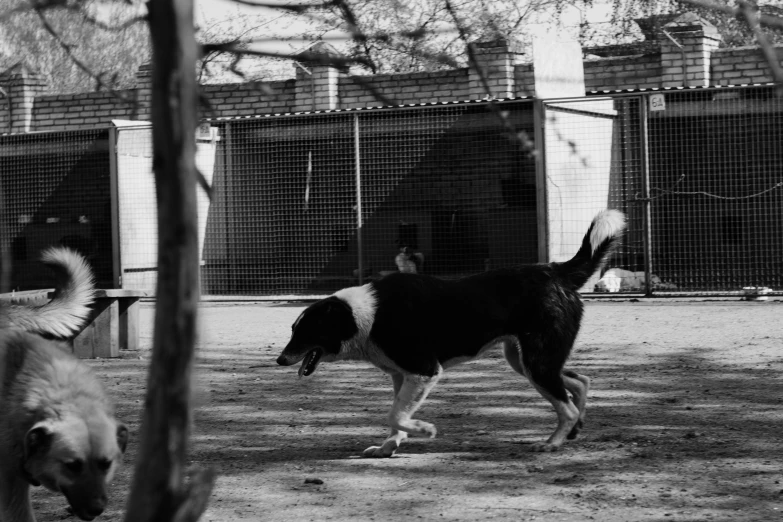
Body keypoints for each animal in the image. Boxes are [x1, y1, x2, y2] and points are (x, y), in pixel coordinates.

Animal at [278, 207, 628, 456]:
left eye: (303, 331)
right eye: (293, 329)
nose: (280, 360)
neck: (366, 315)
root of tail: (556, 271)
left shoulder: (424, 370)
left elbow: (395, 416)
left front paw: (424, 431)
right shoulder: (402, 376)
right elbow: (396, 417)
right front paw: (388, 447)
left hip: (537, 362)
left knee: (566, 405)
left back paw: (552, 443)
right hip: (526, 359)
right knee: (580, 382)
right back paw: (574, 429)